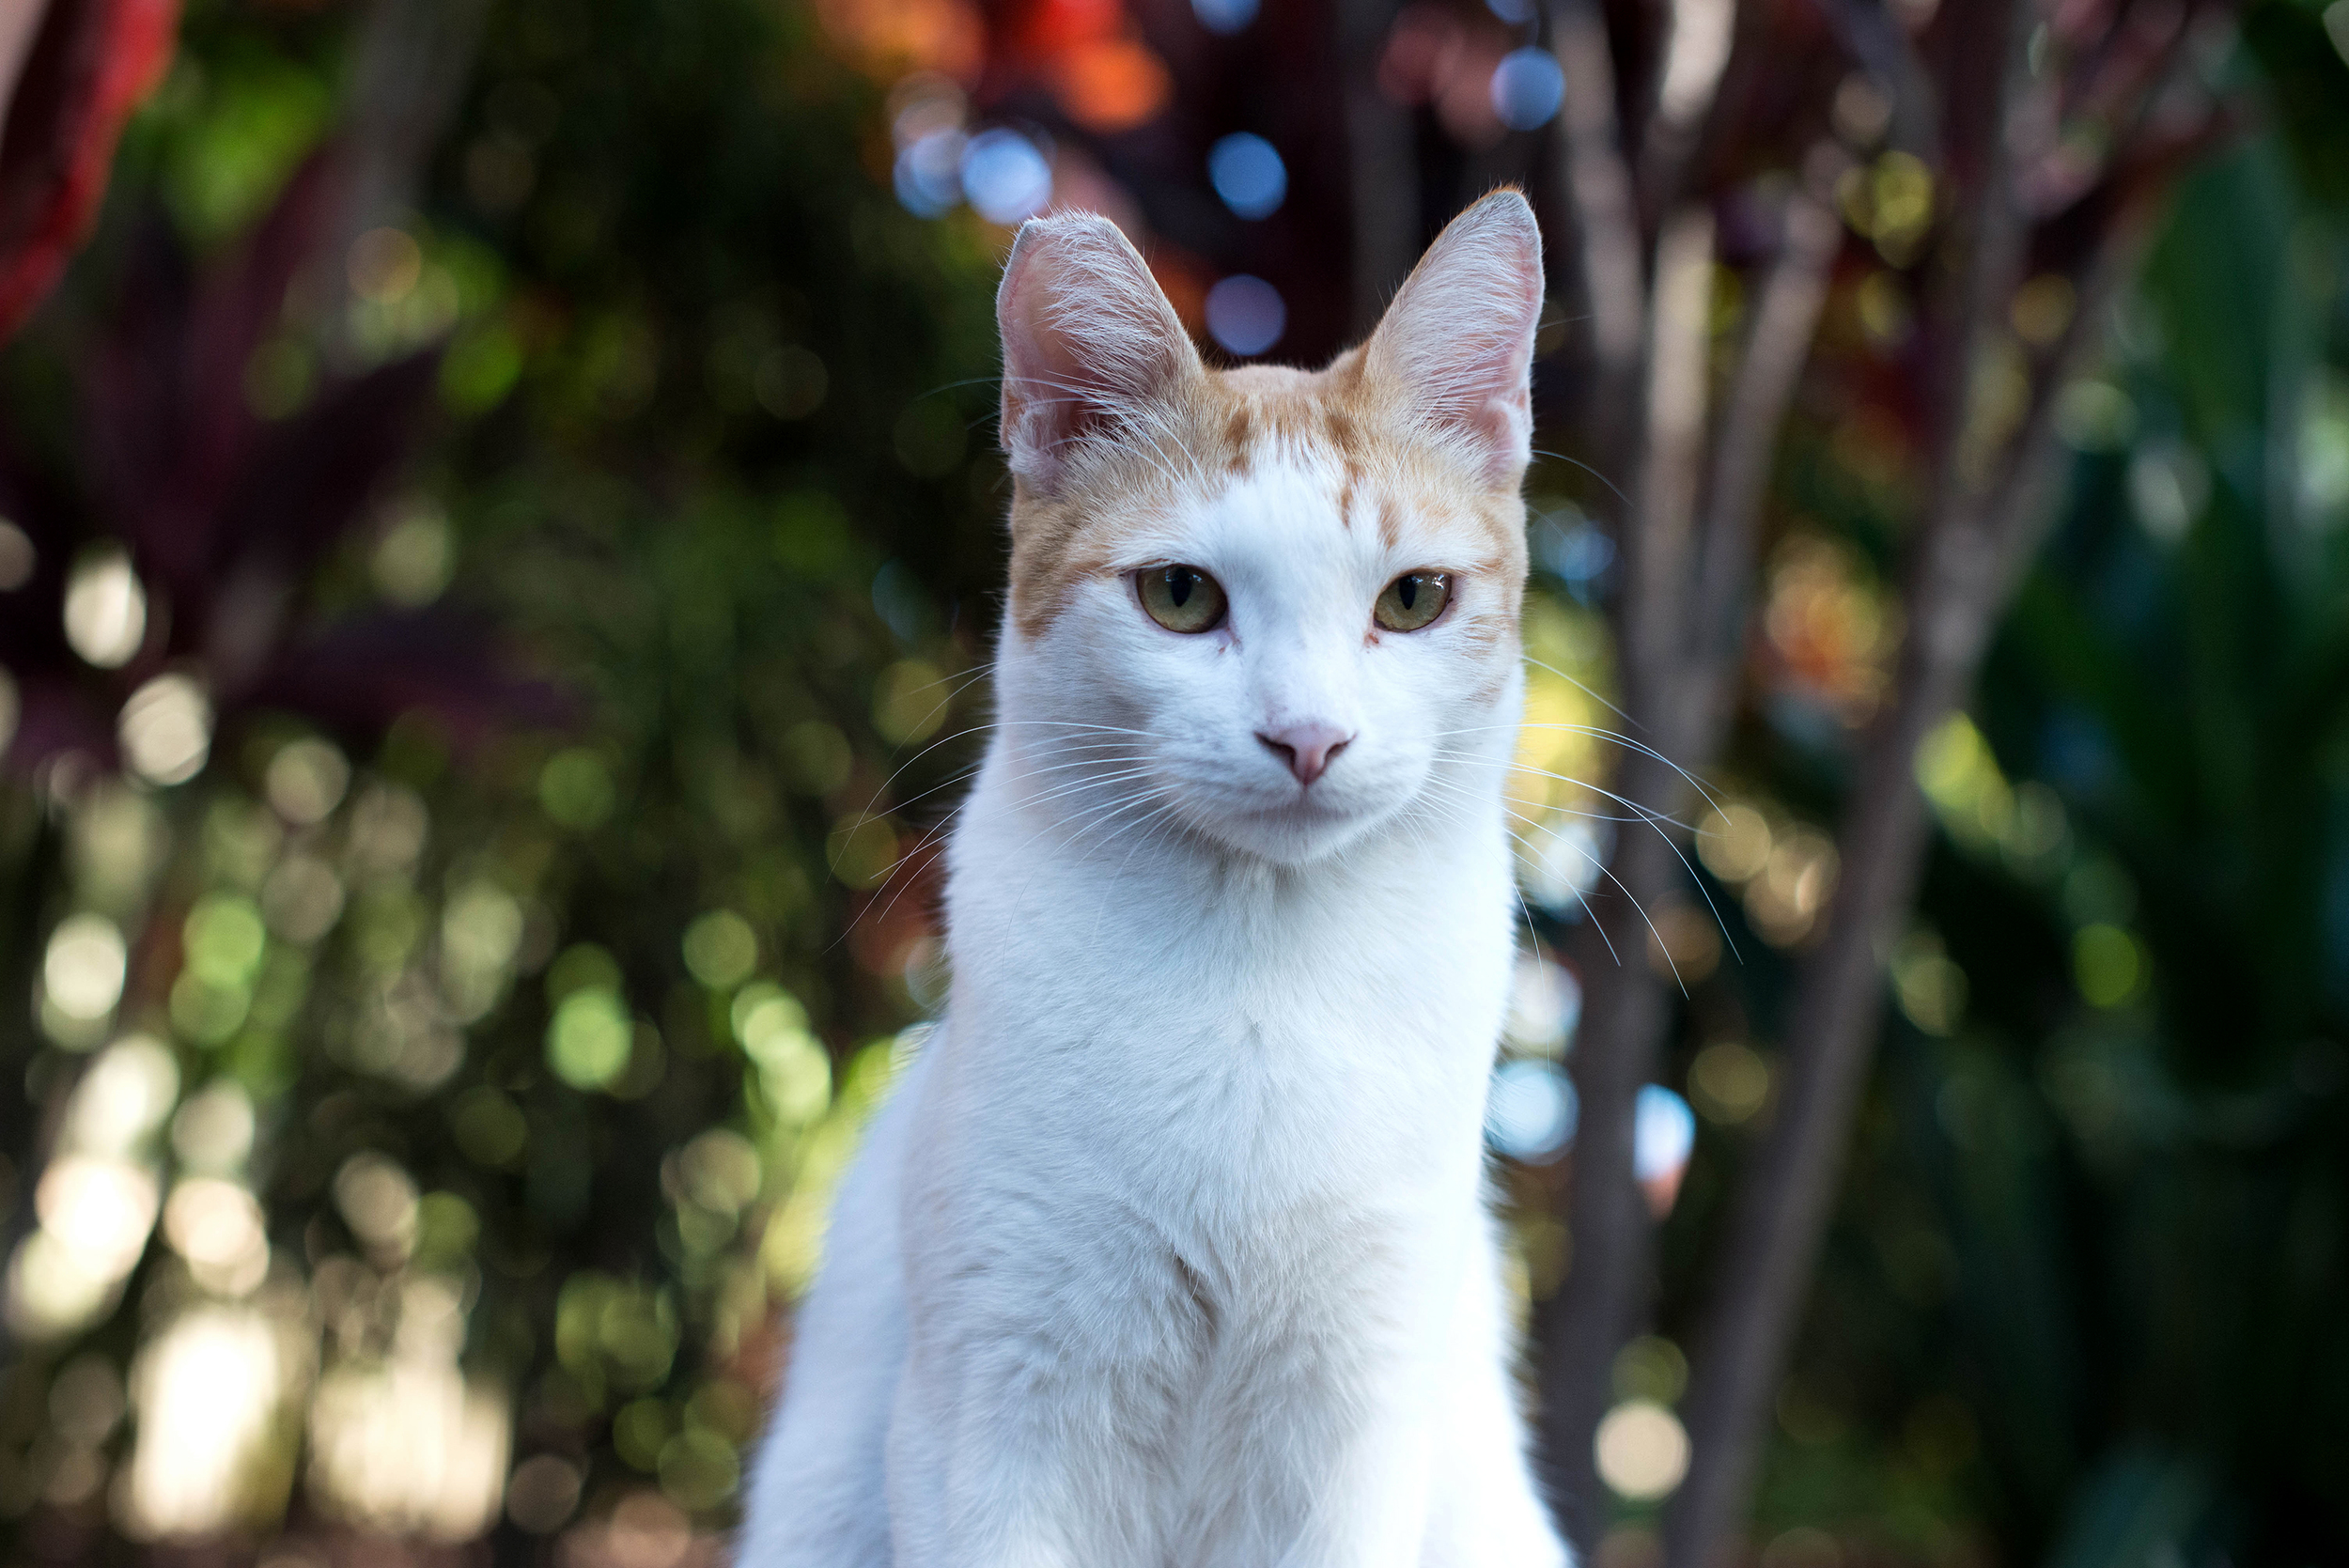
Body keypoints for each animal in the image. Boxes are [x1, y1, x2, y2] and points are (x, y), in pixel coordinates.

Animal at [742, 186, 1569, 1568]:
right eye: (1181, 596)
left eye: (1411, 600)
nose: (1308, 738)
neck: (1254, 985)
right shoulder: (999, 1406)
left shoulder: (1355, 1420)